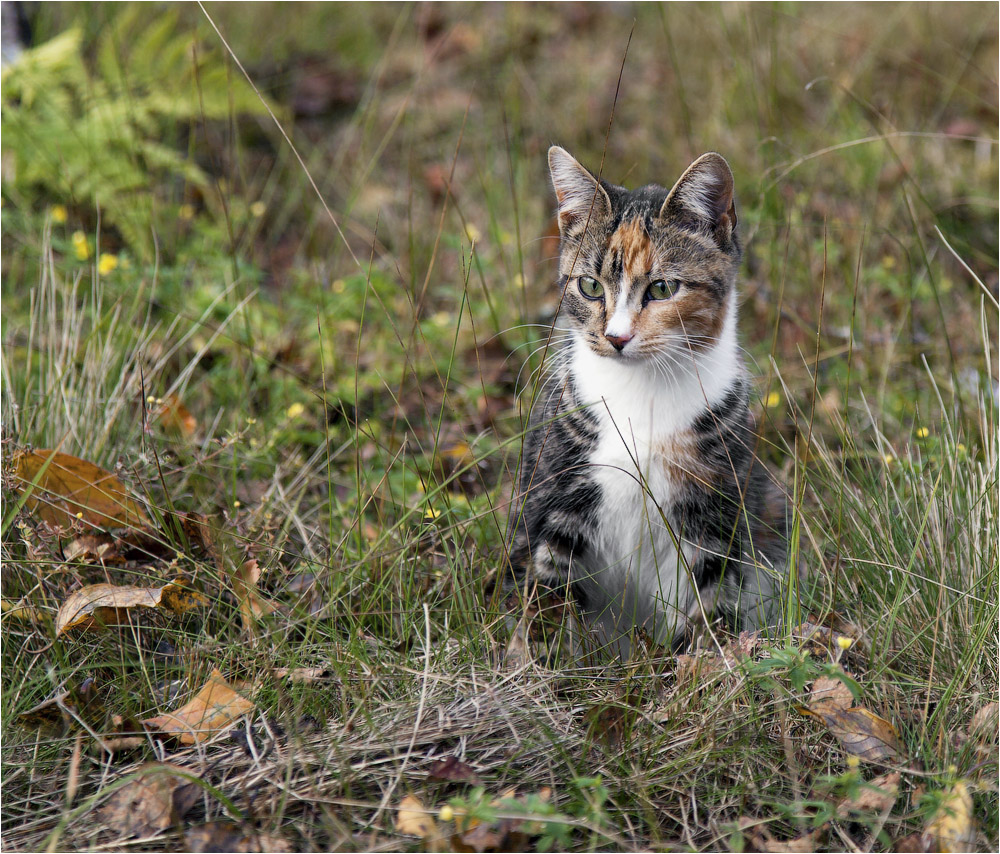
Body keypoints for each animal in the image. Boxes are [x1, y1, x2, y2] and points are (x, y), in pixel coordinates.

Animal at [508, 145, 788, 664]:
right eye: (590, 286)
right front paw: (541, 667)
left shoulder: (716, 511)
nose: (616, 337)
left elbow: (712, 599)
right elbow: (549, 589)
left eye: (661, 288)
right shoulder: (555, 495)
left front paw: (704, 666)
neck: (641, 395)